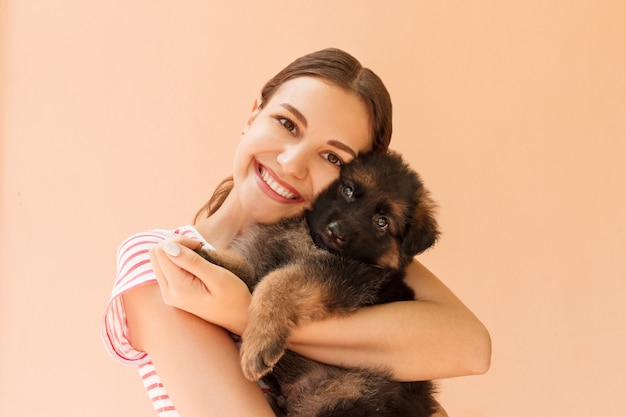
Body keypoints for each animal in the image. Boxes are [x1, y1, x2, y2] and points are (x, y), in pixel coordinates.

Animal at [199, 150, 438, 416]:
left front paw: (260, 341)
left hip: (352, 393)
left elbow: (277, 281)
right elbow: (247, 270)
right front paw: (211, 257)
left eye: (382, 222)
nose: (336, 231)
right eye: (348, 190)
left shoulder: (339, 275)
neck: (313, 240)